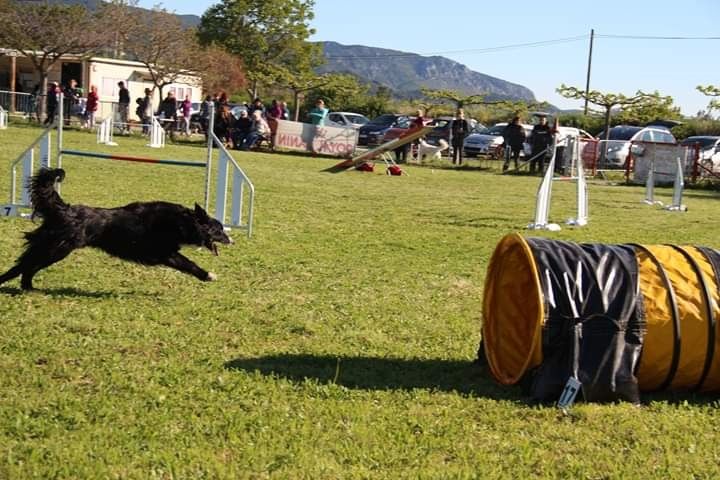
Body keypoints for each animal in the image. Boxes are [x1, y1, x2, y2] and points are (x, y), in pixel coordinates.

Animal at [0, 167, 232, 290]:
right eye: (219, 230)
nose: (232, 240)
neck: (180, 221)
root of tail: (65, 210)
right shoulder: (166, 253)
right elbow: (189, 264)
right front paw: (208, 275)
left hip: (51, 249)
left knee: (25, 267)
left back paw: (28, 288)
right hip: (55, 249)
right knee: (24, 266)